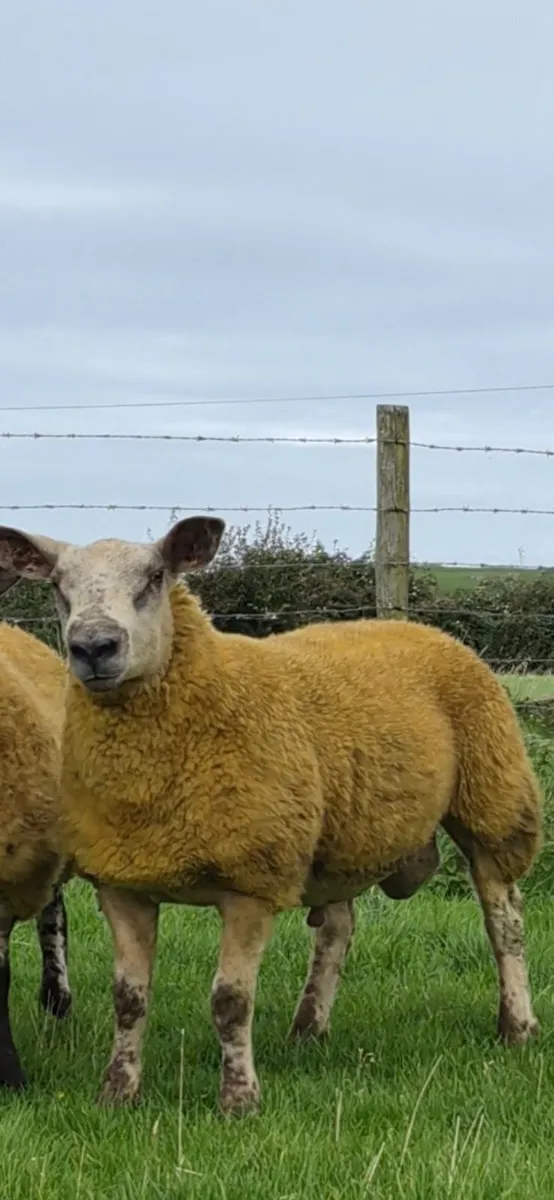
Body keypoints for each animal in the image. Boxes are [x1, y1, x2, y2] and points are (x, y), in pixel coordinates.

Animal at [0, 516, 542, 1116]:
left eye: (156, 576)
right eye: (57, 585)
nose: (94, 646)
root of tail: (419, 629)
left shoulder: (250, 883)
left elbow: (231, 1001)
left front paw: (239, 1100)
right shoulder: (124, 882)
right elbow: (129, 999)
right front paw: (117, 1093)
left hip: (492, 800)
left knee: (504, 921)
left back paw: (517, 1026)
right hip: (341, 836)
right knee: (337, 929)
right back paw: (309, 1028)